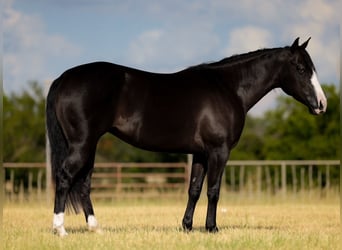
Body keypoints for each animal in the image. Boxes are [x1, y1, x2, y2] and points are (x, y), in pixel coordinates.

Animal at [45, 37, 326, 236]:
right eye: (300, 68)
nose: (321, 104)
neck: (228, 88)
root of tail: (63, 78)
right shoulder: (219, 151)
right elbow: (213, 190)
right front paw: (212, 228)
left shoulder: (200, 153)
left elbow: (194, 189)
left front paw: (187, 226)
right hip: (82, 145)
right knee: (66, 177)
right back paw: (60, 229)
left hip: (88, 146)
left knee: (83, 183)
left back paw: (95, 228)